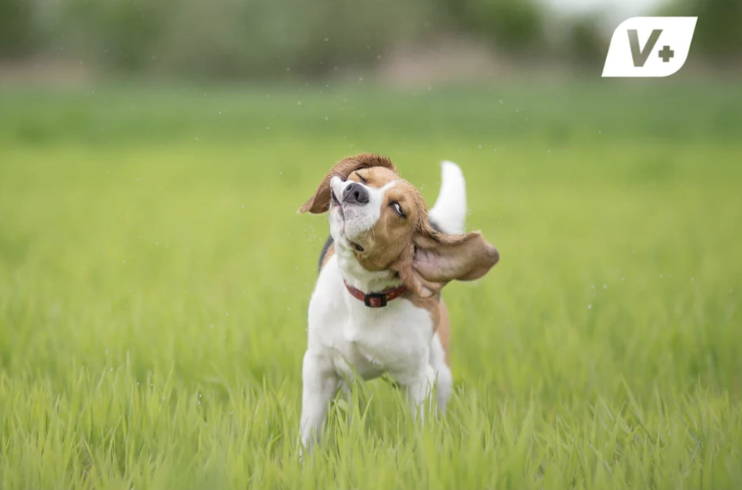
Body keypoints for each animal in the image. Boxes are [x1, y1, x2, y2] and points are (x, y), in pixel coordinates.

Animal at [300, 154, 500, 448]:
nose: (355, 191)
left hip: (442, 373)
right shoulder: (318, 367)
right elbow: (309, 433)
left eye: (397, 208)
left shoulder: (419, 380)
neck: (367, 296)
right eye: (362, 177)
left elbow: (421, 434)